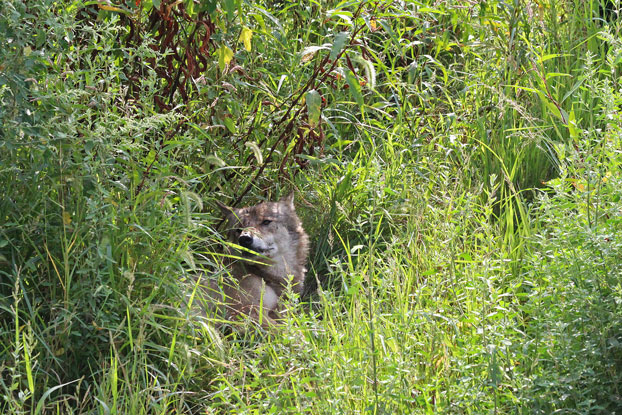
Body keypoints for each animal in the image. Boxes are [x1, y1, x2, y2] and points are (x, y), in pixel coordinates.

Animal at [211, 193, 310, 330]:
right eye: (239, 229)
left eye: (266, 222)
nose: (244, 239)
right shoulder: (248, 312)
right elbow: (290, 331)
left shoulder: (281, 310)